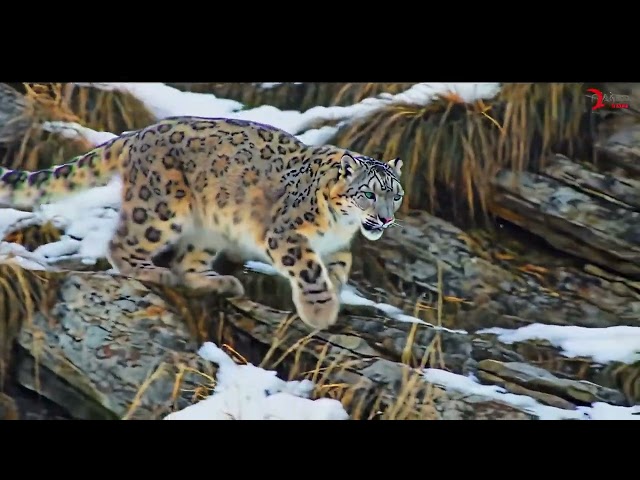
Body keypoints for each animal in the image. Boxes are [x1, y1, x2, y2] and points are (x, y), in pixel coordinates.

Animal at [0, 116, 404, 330]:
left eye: (396, 194)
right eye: (369, 194)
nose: (385, 218)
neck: (340, 227)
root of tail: (138, 133)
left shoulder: (337, 249)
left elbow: (335, 272)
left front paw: (331, 299)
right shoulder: (287, 235)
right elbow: (309, 271)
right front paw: (320, 312)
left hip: (208, 228)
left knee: (187, 261)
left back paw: (219, 282)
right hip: (161, 207)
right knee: (123, 243)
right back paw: (153, 271)